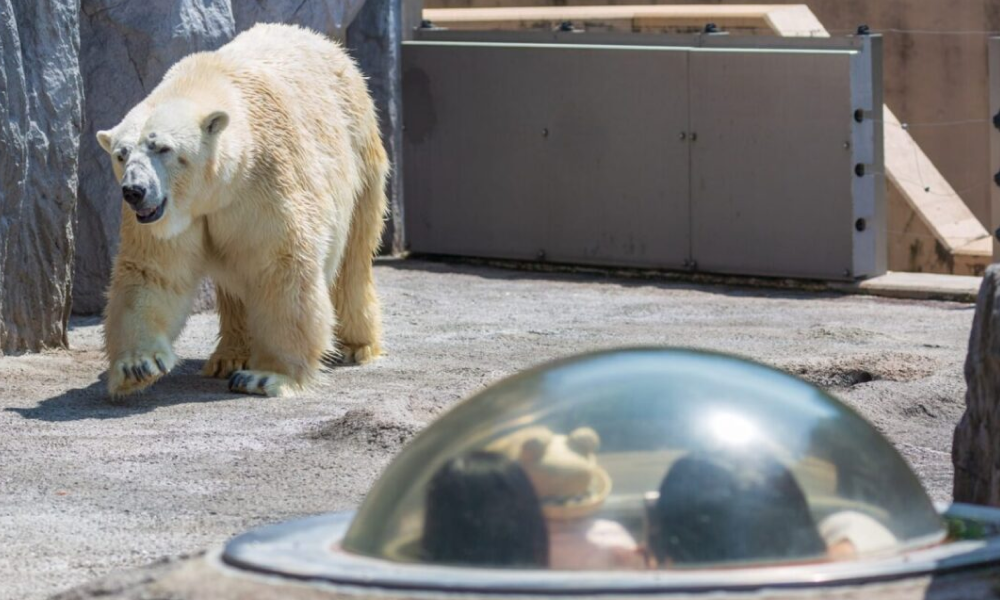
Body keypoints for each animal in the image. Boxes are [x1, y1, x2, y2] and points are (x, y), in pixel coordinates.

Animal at [96, 24, 386, 398]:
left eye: (162, 148)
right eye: (121, 154)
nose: (134, 191)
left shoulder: (266, 180)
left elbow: (281, 263)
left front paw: (267, 376)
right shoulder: (173, 215)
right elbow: (153, 271)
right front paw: (137, 366)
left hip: (360, 150)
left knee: (353, 257)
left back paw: (357, 345)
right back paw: (228, 357)